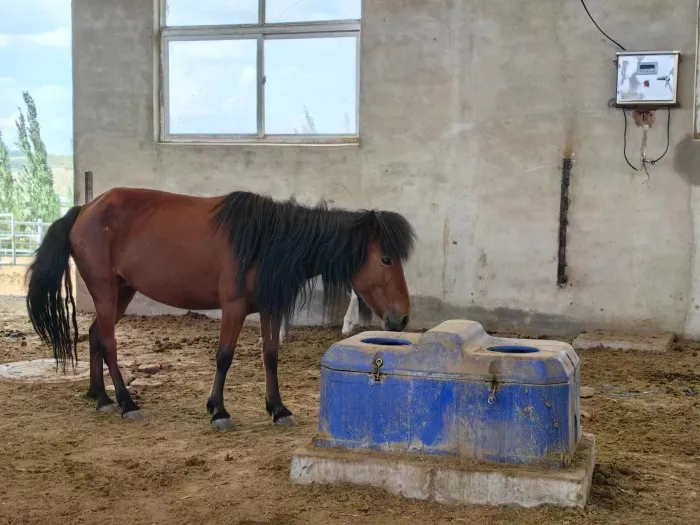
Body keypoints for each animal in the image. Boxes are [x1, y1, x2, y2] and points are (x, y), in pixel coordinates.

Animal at [25, 188, 416, 429]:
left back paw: (100, 396)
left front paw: (278, 409)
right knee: (108, 342)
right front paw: (218, 410)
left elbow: (270, 356)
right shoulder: (234, 307)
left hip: (123, 292)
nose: (402, 316)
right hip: (106, 291)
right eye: (385, 259)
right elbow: (225, 356)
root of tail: (85, 209)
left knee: (95, 335)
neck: (266, 241)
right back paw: (126, 402)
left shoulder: (268, 308)